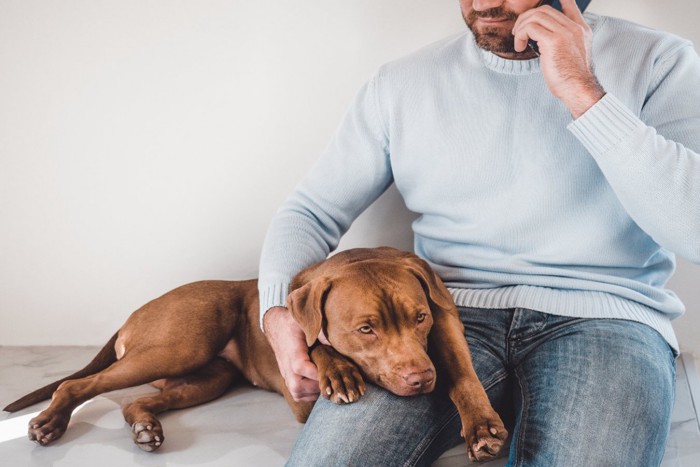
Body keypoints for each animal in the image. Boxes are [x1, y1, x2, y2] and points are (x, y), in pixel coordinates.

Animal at [2, 247, 506, 462]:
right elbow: (313, 343)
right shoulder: (302, 393)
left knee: (136, 400)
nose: (422, 379)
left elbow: (463, 373)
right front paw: (339, 371)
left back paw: (145, 427)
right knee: (78, 383)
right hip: (179, 344)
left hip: (208, 378)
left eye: (419, 318)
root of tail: (134, 313)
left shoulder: (445, 323)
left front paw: (481, 425)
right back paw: (49, 423)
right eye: (366, 329)